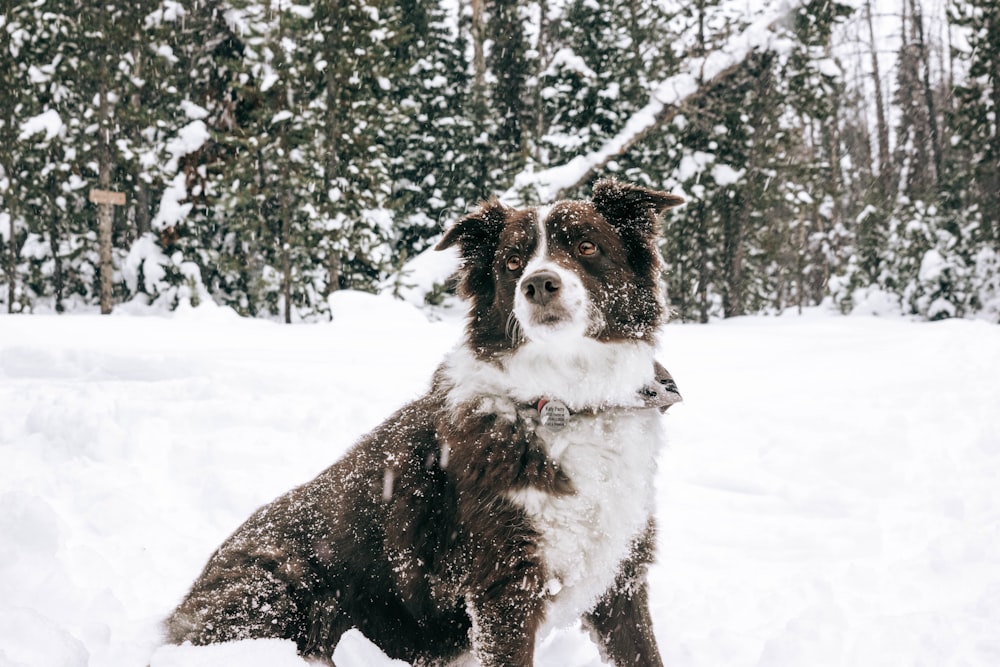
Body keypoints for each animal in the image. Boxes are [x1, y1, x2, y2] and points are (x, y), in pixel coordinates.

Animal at [166, 180, 680, 664]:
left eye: (587, 247)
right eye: (513, 262)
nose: (537, 284)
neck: (564, 401)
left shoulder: (621, 578)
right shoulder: (504, 589)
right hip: (281, 586)